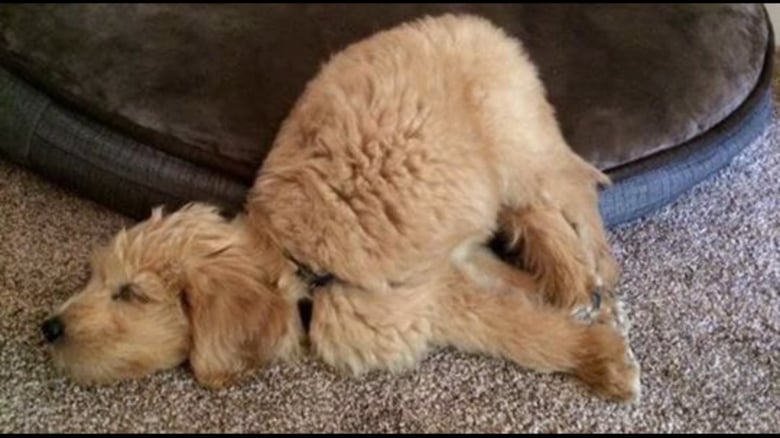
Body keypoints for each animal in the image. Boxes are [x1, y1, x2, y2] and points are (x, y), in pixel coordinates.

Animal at [41, 13, 640, 402]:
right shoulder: (449, 269)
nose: (48, 328)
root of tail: (480, 25)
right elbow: (512, 293)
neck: (296, 267)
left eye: (130, 294)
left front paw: (600, 357)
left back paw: (588, 269)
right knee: (535, 212)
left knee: (569, 194)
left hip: (514, 141)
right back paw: (573, 279)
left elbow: (518, 331)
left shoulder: (422, 304)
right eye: (96, 279)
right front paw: (578, 314)